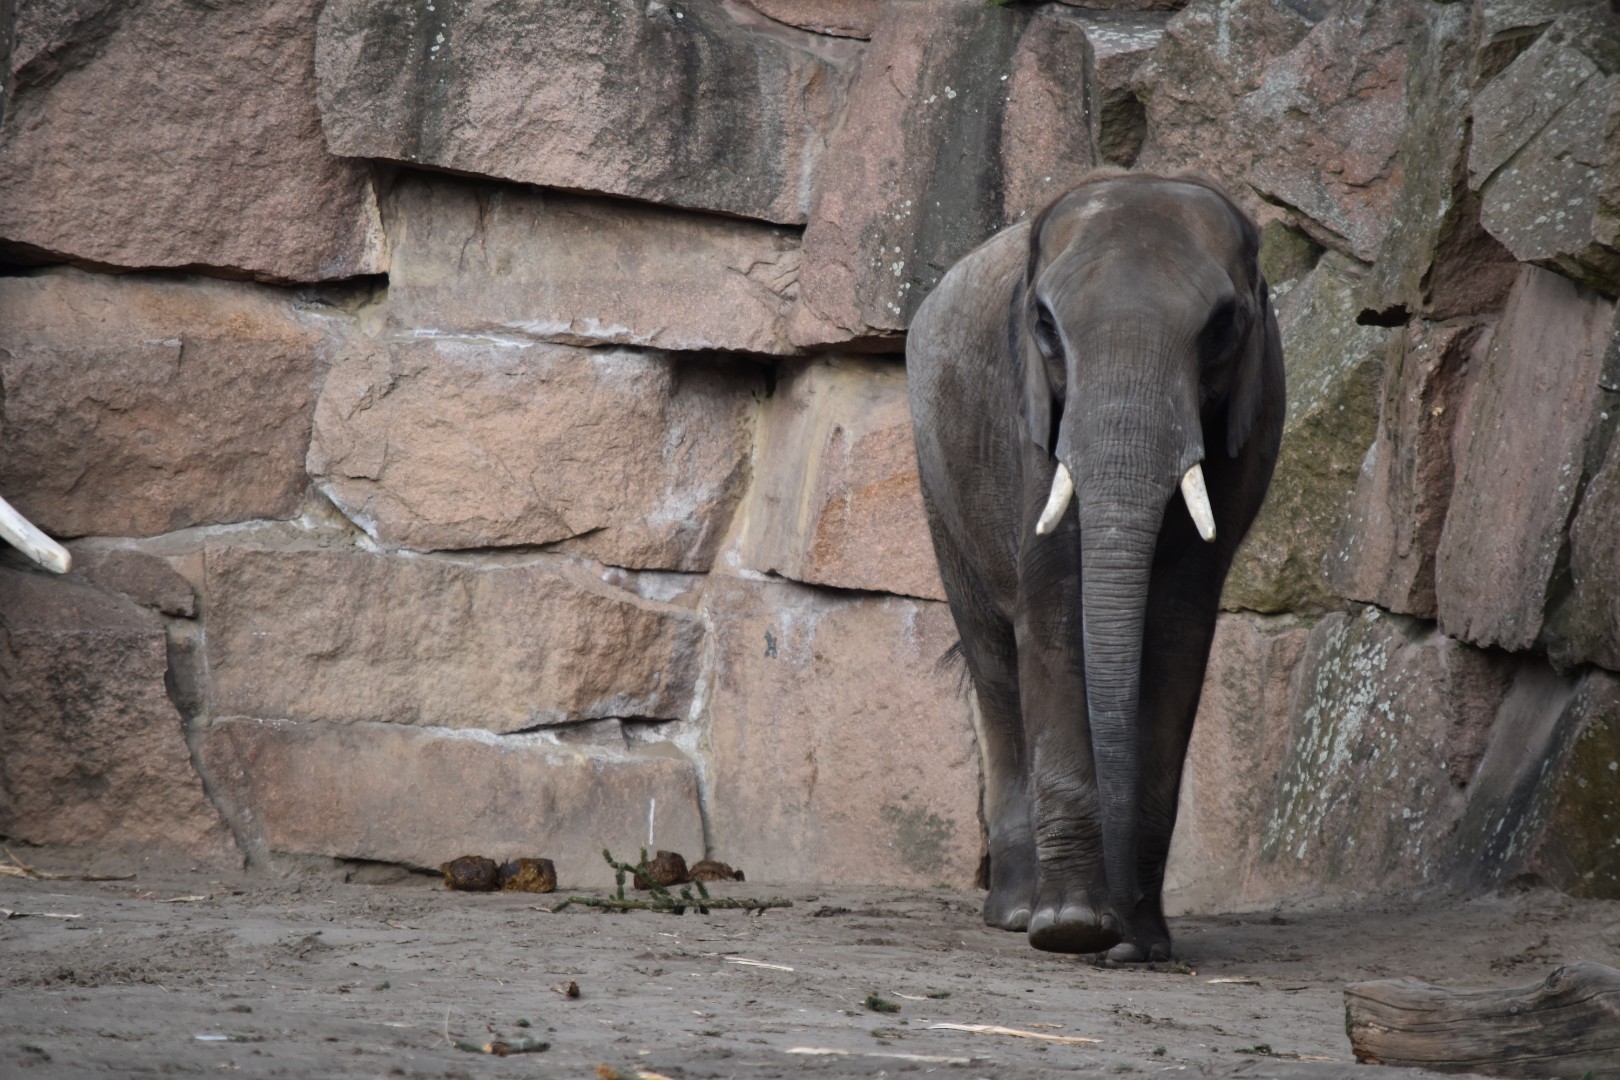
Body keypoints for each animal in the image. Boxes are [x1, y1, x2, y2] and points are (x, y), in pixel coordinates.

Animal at [906, 171, 1284, 960]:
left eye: (1223, 326)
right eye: (1046, 326)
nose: (1124, 934)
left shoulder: (1251, 419)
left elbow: (1176, 629)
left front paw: (1140, 942)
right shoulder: (1026, 418)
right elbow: (1052, 612)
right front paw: (1072, 928)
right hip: (938, 473)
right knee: (994, 663)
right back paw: (1017, 912)